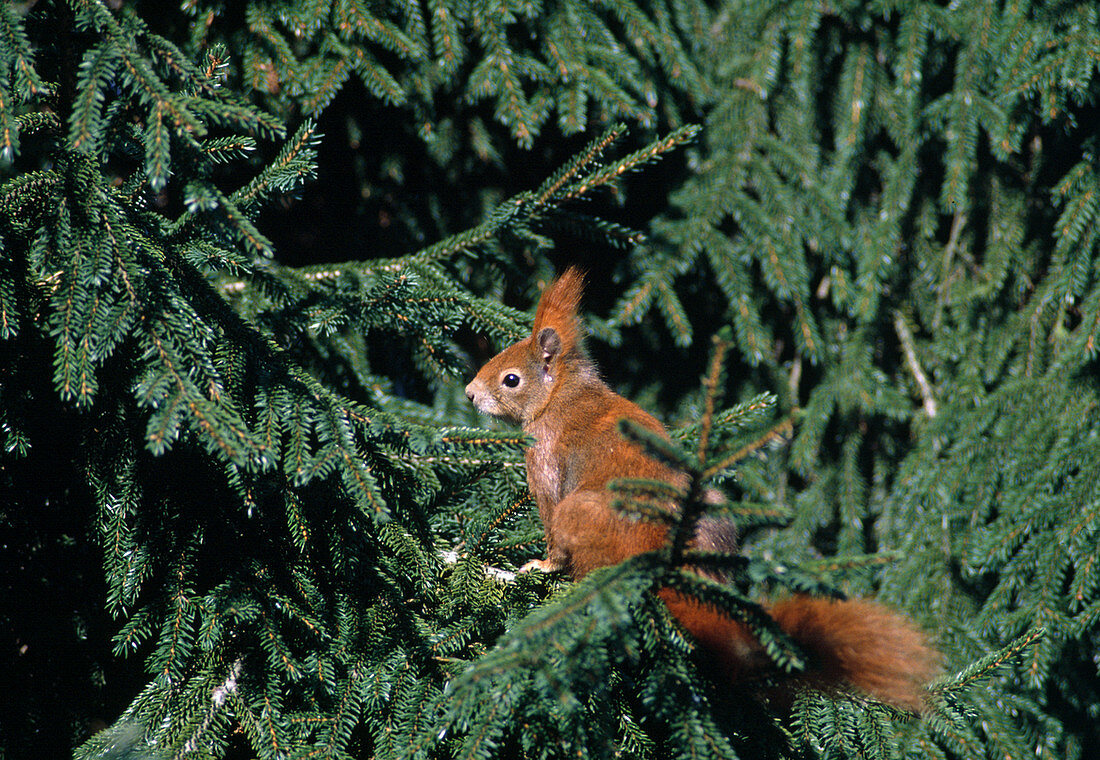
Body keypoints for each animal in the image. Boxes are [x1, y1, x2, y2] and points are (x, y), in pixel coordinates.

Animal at [464, 269, 937, 712]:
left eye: (510, 379)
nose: (468, 394)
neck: (561, 394)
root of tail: (661, 560)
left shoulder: (543, 460)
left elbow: (548, 526)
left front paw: (539, 564)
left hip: (579, 514)